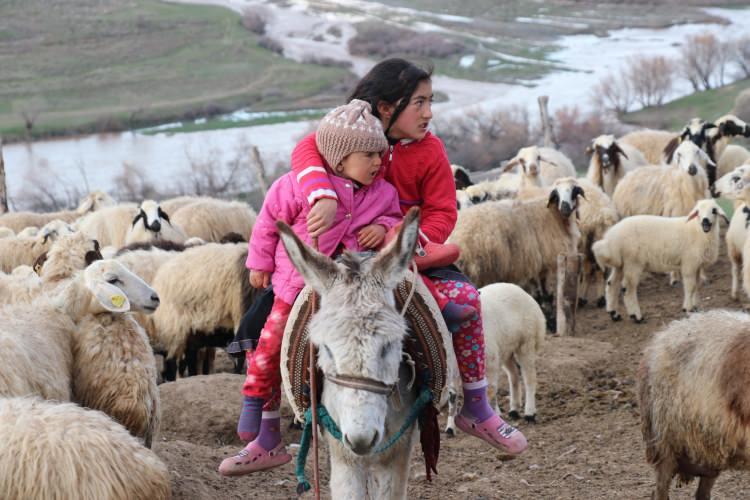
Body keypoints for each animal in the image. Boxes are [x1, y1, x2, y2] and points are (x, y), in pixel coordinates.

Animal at [446, 284, 548, 436]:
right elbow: (453, 397)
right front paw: (450, 428)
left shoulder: (490, 363)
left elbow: (488, 391)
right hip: (506, 349)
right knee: (513, 375)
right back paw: (514, 410)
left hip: (527, 342)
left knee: (530, 378)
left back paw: (530, 414)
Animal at [592, 197, 728, 322]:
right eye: (698, 212)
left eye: (714, 210)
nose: (705, 220)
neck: (698, 231)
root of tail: (611, 238)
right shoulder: (689, 264)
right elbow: (691, 286)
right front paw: (687, 308)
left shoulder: (697, 266)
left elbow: (696, 286)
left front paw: (695, 307)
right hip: (633, 262)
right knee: (628, 288)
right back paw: (636, 316)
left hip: (620, 264)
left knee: (611, 284)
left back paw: (614, 314)